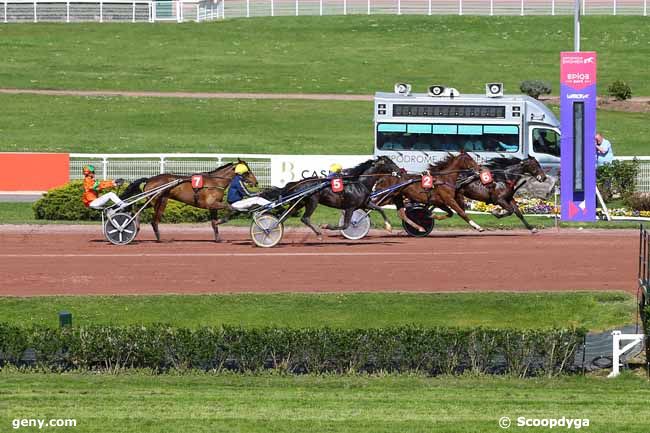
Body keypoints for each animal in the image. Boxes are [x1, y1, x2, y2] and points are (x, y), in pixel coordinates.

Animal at [120, 159, 256, 241]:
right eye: (248, 171)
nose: (256, 182)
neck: (215, 182)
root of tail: (149, 179)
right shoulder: (212, 204)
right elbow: (230, 207)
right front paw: (223, 220)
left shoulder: (213, 207)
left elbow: (213, 223)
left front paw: (218, 238)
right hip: (157, 200)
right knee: (149, 217)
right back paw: (153, 235)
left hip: (158, 201)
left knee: (142, 211)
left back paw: (141, 231)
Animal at [258, 155, 400, 236]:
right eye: (390, 162)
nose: (400, 170)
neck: (360, 183)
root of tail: (296, 183)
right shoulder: (350, 207)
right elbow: (346, 225)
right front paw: (326, 226)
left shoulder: (364, 203)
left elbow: (380, 209)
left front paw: (388, 227)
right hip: (312, 201)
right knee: (305, 218)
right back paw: (318, 232)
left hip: (298, 203)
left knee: (283, 217)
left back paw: (271, 230)